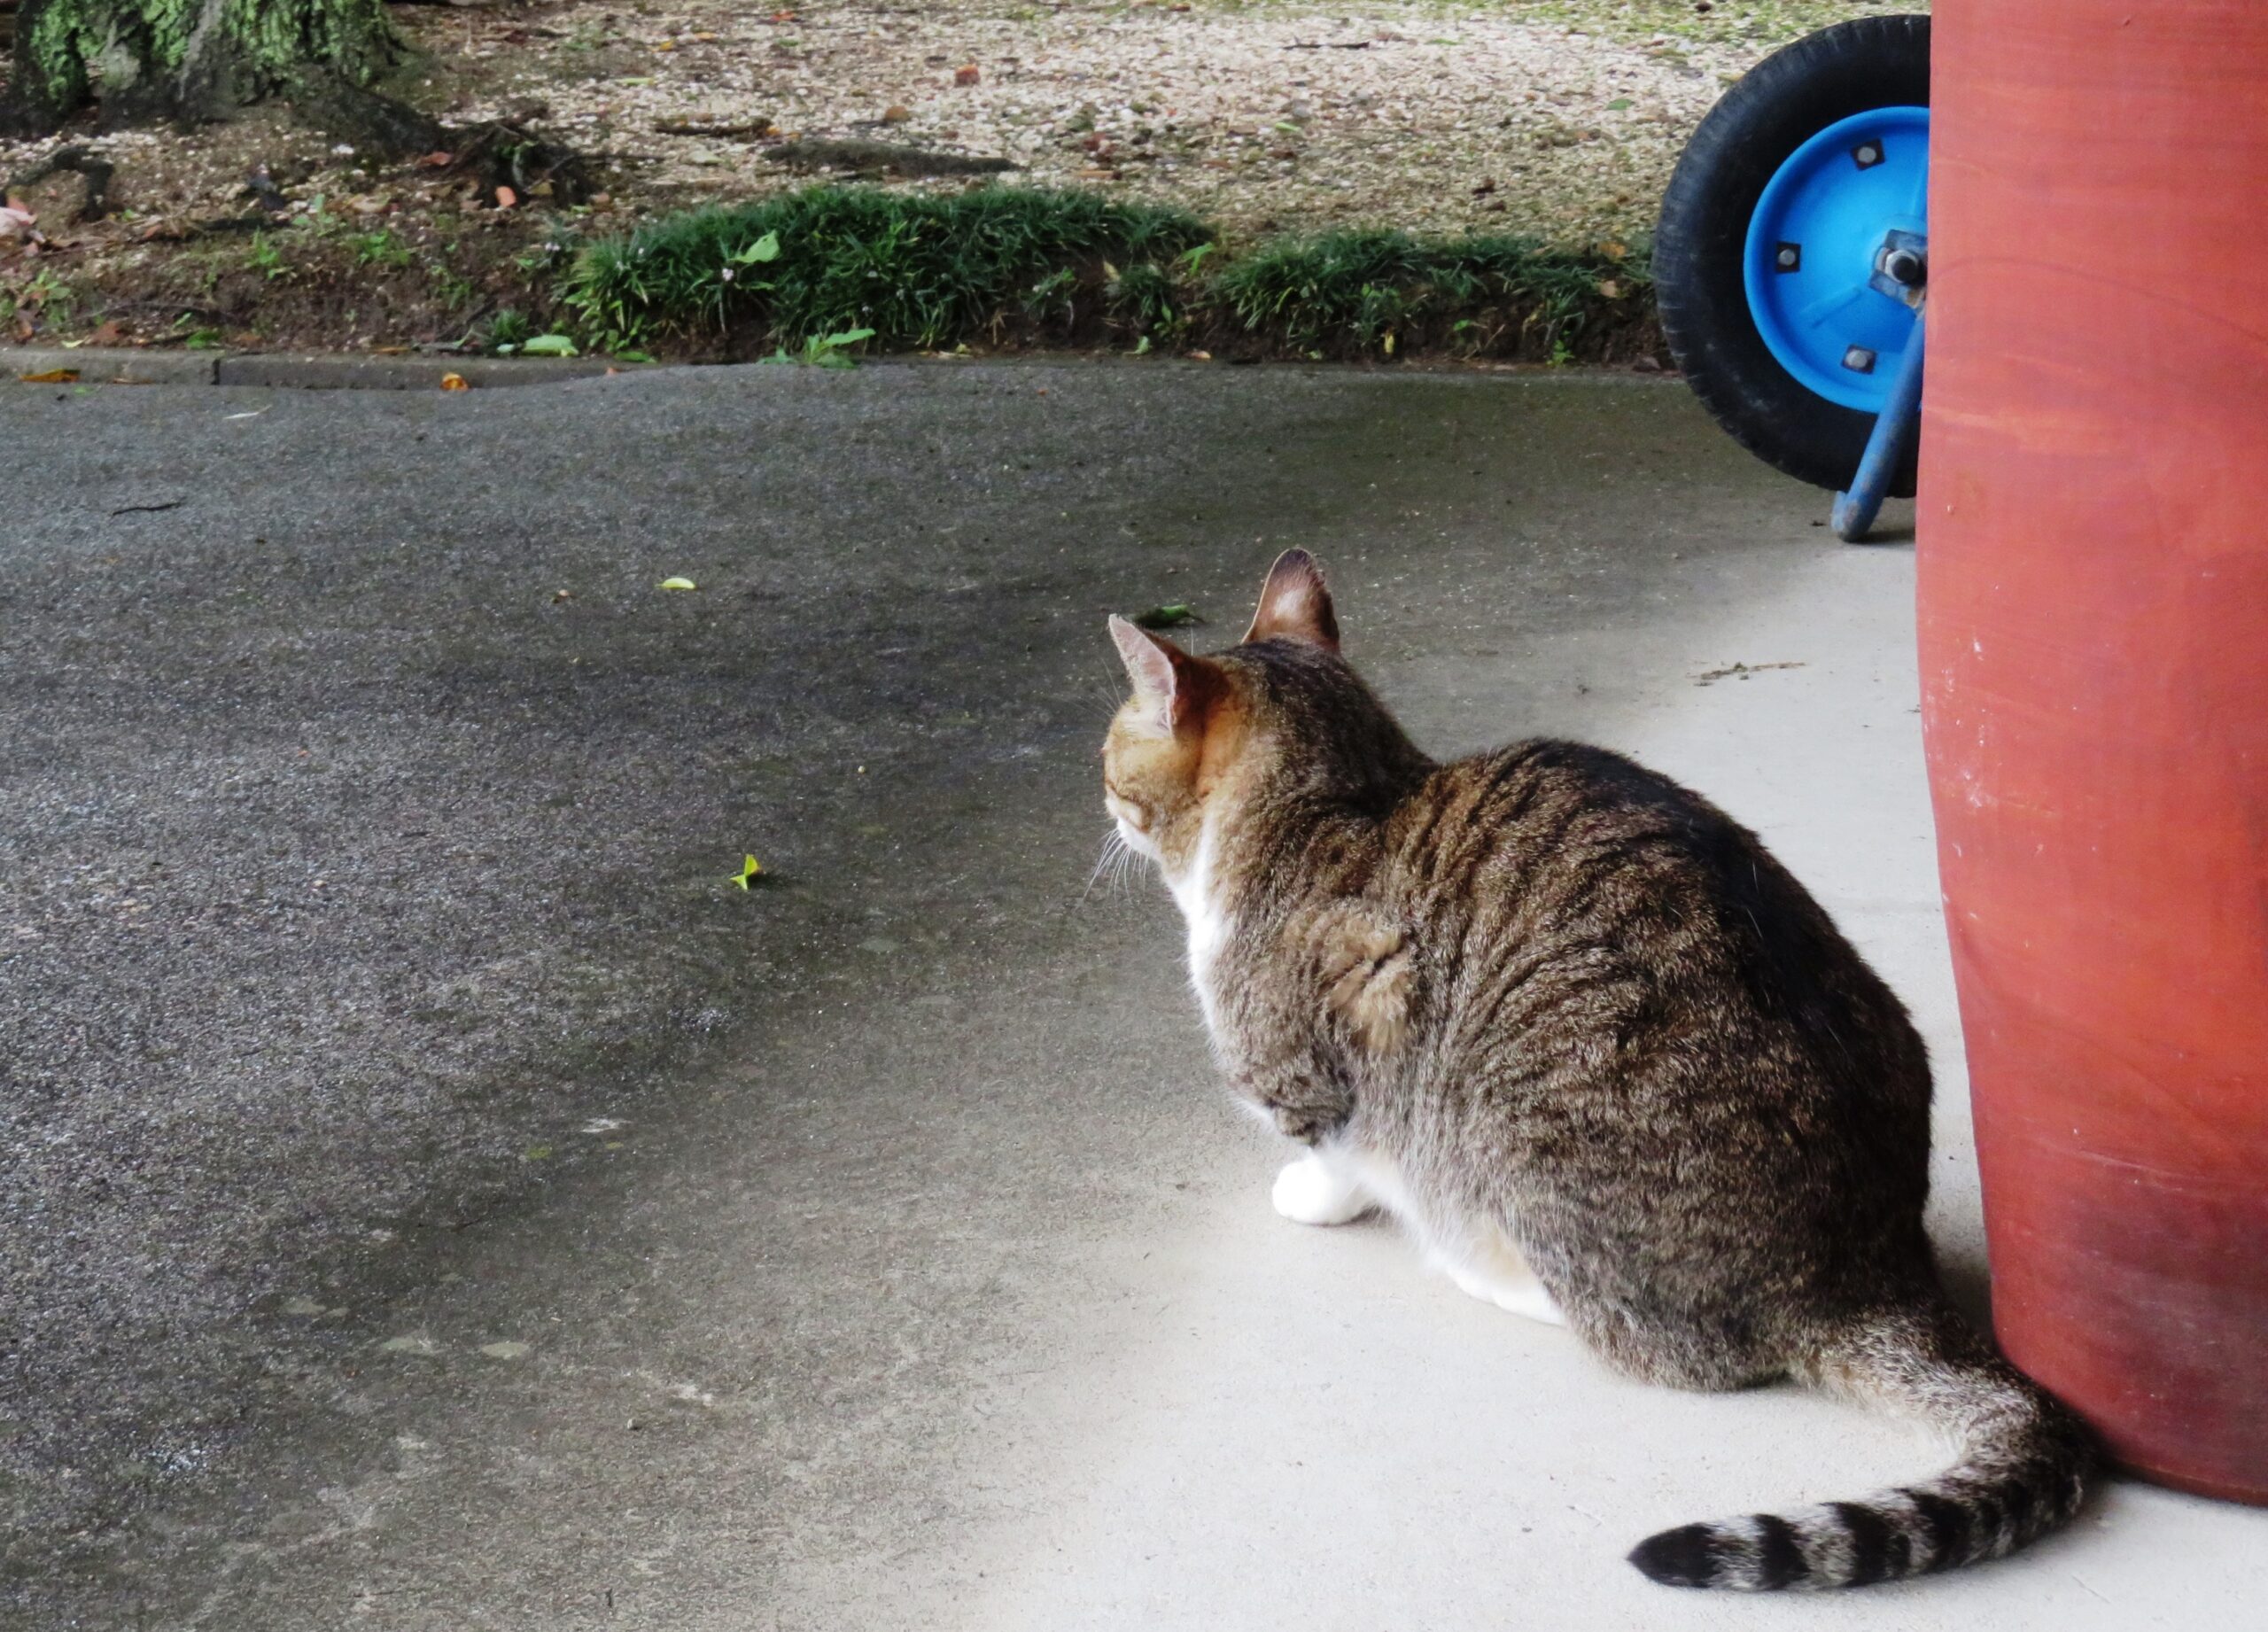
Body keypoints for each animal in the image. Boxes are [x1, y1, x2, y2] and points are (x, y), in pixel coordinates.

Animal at [1098, 550, 2086, 1596]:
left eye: (1110, 758)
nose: (1100, 804)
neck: (1331, 805)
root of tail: (1865, 1275)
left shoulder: (1317, 1058)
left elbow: (1332, 1148)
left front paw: (1317, 1196)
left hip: (1514, 1130)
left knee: (1651, 1344)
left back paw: (1485, 1268)